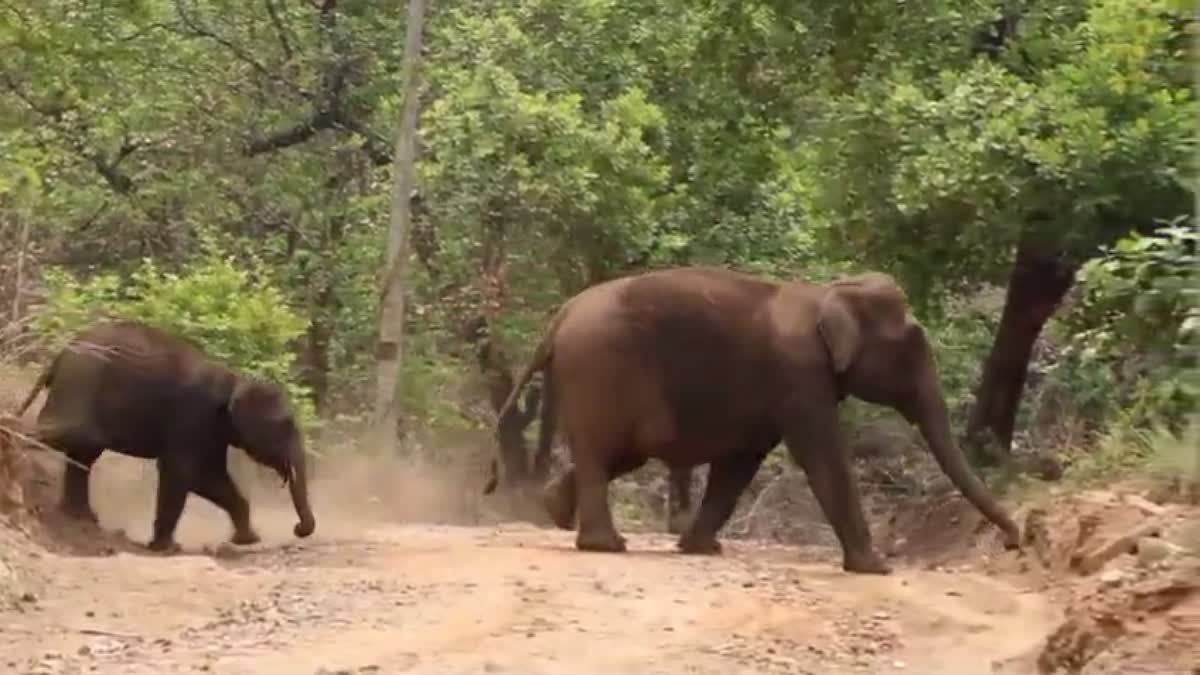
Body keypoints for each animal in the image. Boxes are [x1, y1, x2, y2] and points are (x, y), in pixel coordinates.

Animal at [17, 319, 316, 552]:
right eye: (285, 425)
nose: (298, 528)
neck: (237, 380)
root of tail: (60, 355)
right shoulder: (193, 416)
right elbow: (183, 472)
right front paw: (166, 548)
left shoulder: (211, 431)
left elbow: (210, 477)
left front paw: (248, 539)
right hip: (79, 390)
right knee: (65, 438)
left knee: (83, 453)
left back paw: (83, 519)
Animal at [487, 265, 1022, 569]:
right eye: (911, 349)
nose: (1016, 540)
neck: (829, 292)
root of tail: (562, 314)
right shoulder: (801, 375)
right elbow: (821, 455)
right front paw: (875, 568)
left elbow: (740, 462)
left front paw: (701, 549)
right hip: (599, 369)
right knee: (605, 452)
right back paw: (606, 546)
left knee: (620, 452)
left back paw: (556, 511)